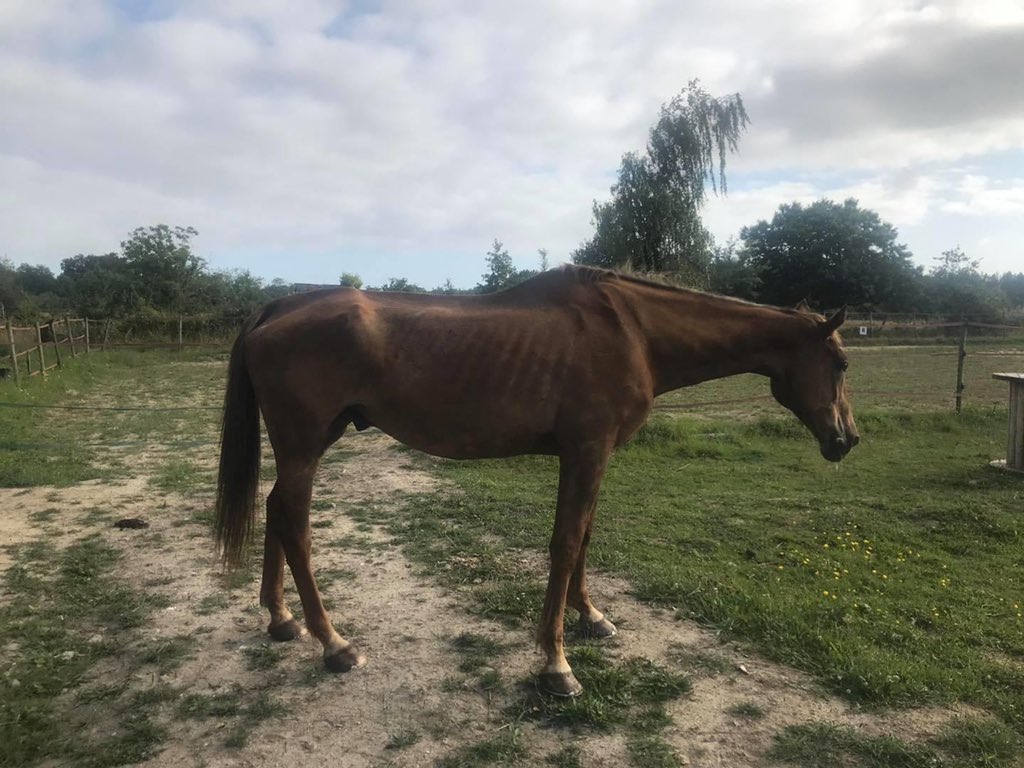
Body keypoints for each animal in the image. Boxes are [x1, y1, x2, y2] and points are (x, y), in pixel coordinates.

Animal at [215, 265, 858, 697]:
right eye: (841, 363)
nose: (846, 439)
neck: (633, 331)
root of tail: (276, 309)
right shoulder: (585, 452)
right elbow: (566, 544)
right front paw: (556, 665)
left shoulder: (593, 457)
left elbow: (585, 538)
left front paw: (592, 618)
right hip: (305, 446)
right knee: (295, 525)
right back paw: (335, 644)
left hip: (304, 447)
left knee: (275, 509)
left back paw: (281, 620)